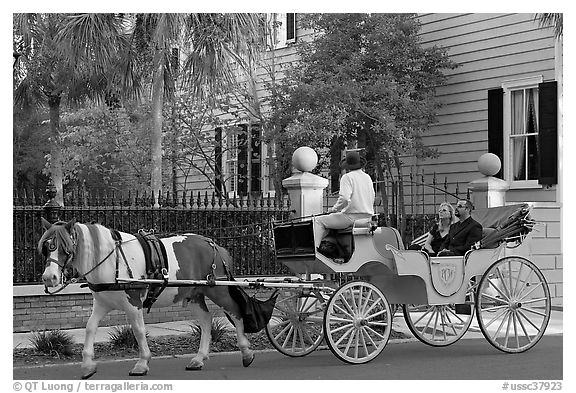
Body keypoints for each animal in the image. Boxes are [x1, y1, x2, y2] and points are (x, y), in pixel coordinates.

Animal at [39, 219, 255, 378]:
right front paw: (87, 365)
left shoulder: (133, 303)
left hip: (219, 290)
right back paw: (199, 358)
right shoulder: (102, 304)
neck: (111, 260)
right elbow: (90, 327)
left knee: (235, 313)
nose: (49, 278)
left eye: (65, 248)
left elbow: (139, 331)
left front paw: (142, 363)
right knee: (206, 320)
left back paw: (246, 352)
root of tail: (214, 245)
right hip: (193, 295)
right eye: (46, 248)